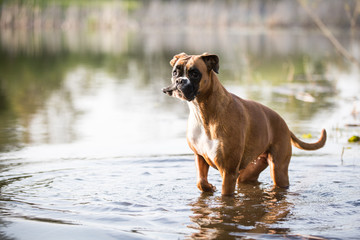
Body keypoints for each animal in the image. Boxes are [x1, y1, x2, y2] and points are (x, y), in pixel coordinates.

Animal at [162, 52, 326, 195]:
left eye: (195, 74)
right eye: (175, 72)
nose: (180, 81)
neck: (203, 113)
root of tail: (284, 123)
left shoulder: (228, 172)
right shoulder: (200, 157)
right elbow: (201, 182)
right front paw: (210, 187)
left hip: (278, 170)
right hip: (249, 172)